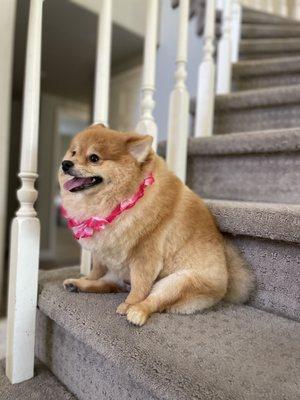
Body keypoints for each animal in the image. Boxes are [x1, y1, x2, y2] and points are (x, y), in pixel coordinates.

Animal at [59, 124, 255, 324]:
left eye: (94, 158)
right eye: (73, 153)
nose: (66, 163)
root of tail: (226, 279)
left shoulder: (145, 256)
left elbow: (140, 285)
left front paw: (130, 304)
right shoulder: (101, 250)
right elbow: (96, 271)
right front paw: (87, 278)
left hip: (178, 282)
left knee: (154, 300)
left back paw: (136, 311)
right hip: (120, 273)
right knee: (106, 284)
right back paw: (77, 284)